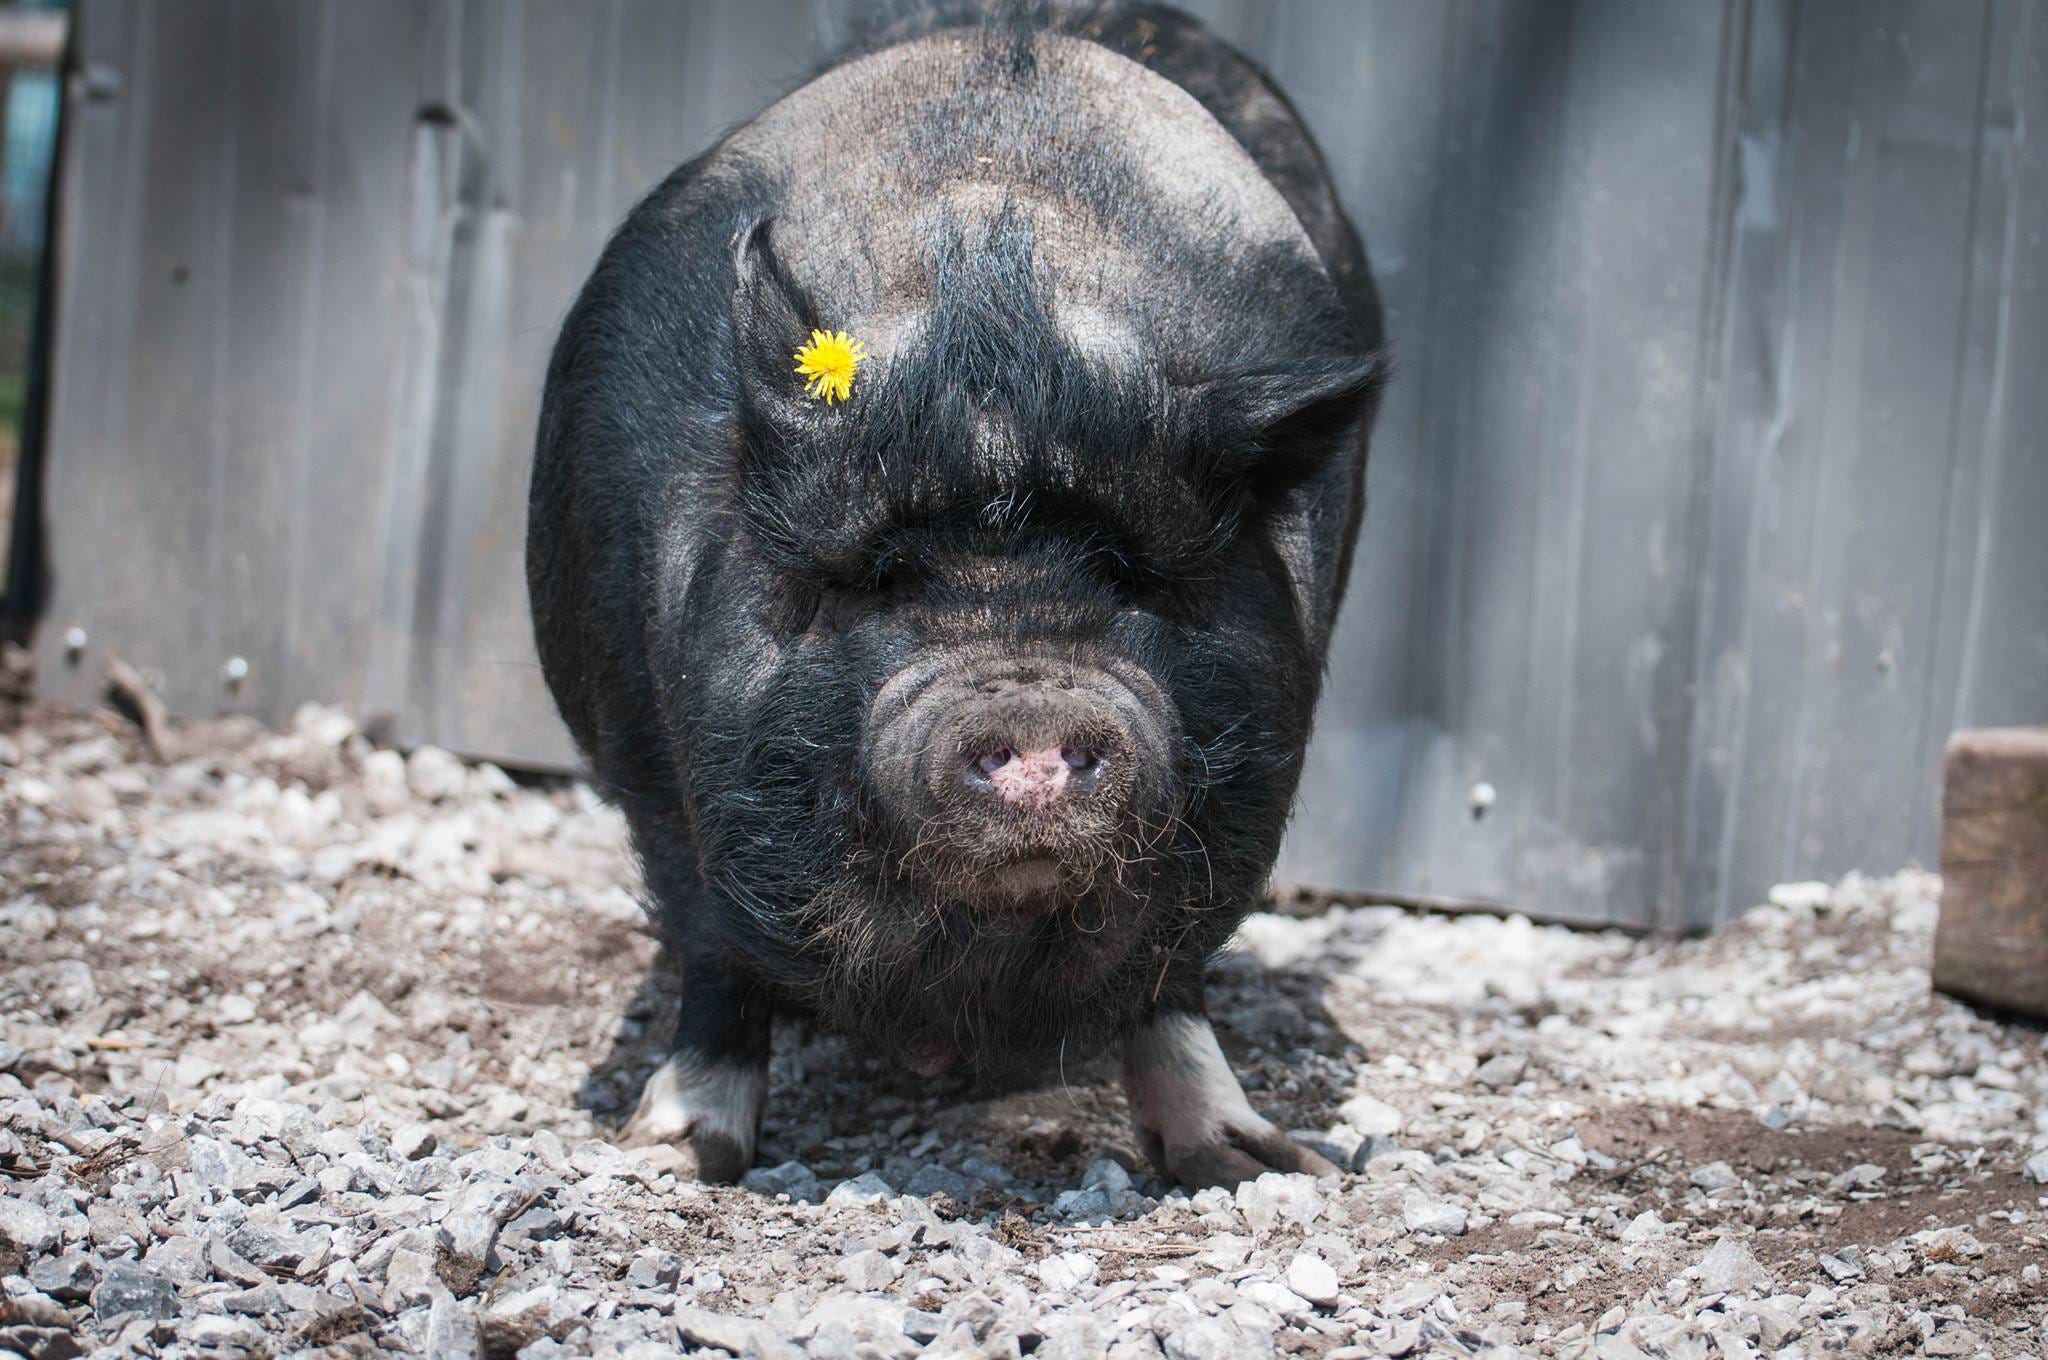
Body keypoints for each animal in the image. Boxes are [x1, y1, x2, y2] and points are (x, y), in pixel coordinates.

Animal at [526, 0, 1385, 1188]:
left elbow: (1172, 978)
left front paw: (1250, 1162)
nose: (1028, 708)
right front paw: (670, 1154)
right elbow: (712, 950)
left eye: (1129, 577)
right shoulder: (652, 759)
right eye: (884, 581)